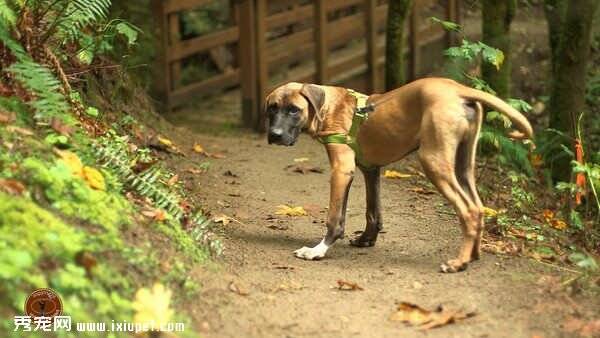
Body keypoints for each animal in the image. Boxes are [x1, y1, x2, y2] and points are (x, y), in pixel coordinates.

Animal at [264, 76, 532, 272]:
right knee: (477, 207)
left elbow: (335, 218)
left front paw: (318, 250)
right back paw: (473, 255)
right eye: (272, 109)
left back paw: (459, 262)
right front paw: (366, 239)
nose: (274, 135)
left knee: (468, 210)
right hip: (463, 165)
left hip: (433, 161)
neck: (330, 107)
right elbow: (373, 212)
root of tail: (459, 90)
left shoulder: (342, 169)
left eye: (294, 110)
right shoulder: (370, 170)